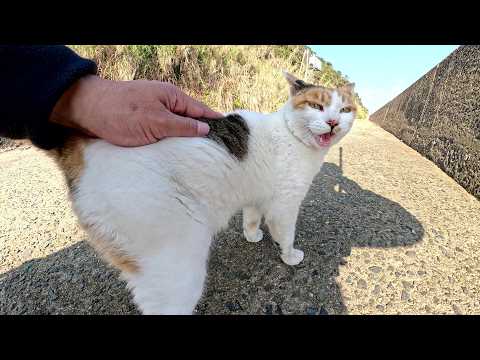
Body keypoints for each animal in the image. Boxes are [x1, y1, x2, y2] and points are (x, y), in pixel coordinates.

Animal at [49, 71, 356, 314]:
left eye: (344, 110)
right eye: (317, 105)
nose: (333, 123)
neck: (292, 136)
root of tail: (80, 148)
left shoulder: (255, 195)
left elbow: (251, 218)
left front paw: (252, 236)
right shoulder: (286, 205)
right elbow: (287, 234)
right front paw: (290, 256)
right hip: (177, 267)